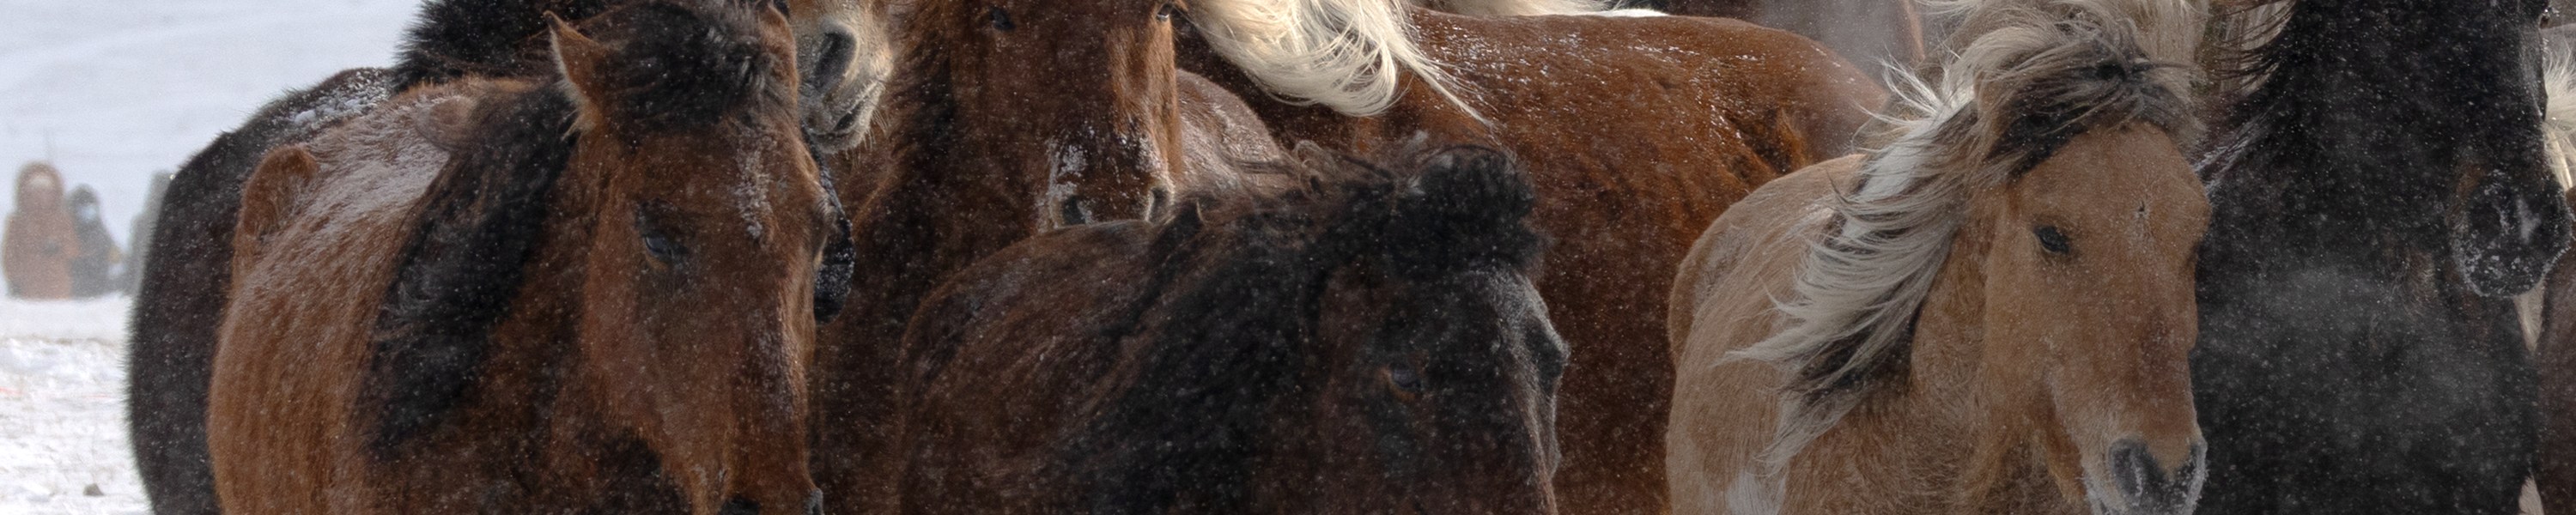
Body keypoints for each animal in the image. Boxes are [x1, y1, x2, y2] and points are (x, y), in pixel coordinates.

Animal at [5, 162, 79, 300]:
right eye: (35, 190)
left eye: (45, 190)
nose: (40, 197)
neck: (40, 215)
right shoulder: (13, 226)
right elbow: (10, 258)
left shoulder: (65, 222)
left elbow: (71, 248)